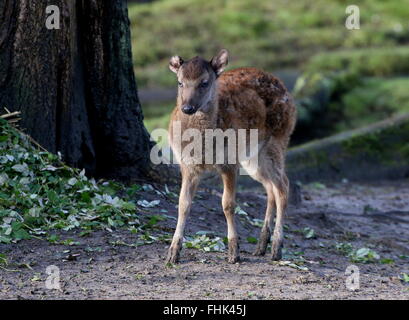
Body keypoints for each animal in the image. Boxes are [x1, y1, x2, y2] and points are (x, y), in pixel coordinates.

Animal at [166, 49, 296, 262]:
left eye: (204, 82)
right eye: (180, 82)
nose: (187, 108)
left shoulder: (229, 162)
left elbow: (228, 204)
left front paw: (234, 252)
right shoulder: (187, 165)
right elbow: (183, 204)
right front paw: (172, 253)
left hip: (278, 141)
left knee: (283, 186)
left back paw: (276, 248)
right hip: (253, 158)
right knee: (270, 188)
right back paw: (261, 246)